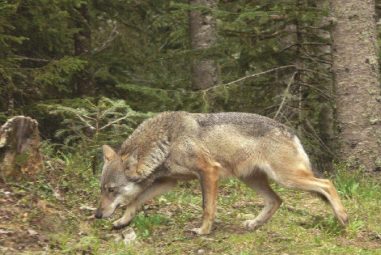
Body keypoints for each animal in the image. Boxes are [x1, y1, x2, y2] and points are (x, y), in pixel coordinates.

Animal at [94, 111, 348, 235]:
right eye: (102, 190)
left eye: (112, 190)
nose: (97, 215)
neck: (166, 142)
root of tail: (289, 130)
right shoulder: (168, 182)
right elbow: (135, 201)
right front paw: (122, 222)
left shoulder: (208, 172)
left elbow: (207, 208)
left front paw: (203, 231)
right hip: (253, 180)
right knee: (277, 200)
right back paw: (254, 224)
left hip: (286, 179)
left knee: (327, 183)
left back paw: (343, 217)